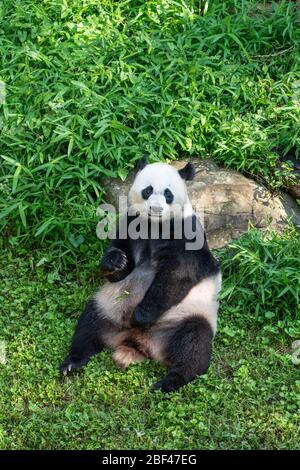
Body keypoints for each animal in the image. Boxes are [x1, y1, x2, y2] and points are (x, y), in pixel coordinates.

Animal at [59, 159, 221, 392]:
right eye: (148, 190)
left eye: (168, 194)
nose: (156, 208)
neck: (155, 225)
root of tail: (140, 343)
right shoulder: (129, 224)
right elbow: (118, 262)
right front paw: (116, 261)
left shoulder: (187, 233)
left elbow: (178, 274)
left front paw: (140, 315)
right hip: (109, 307)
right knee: (88, 327)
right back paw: (72, 362)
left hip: (187, 315)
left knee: (194, 345)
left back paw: (169, 382)